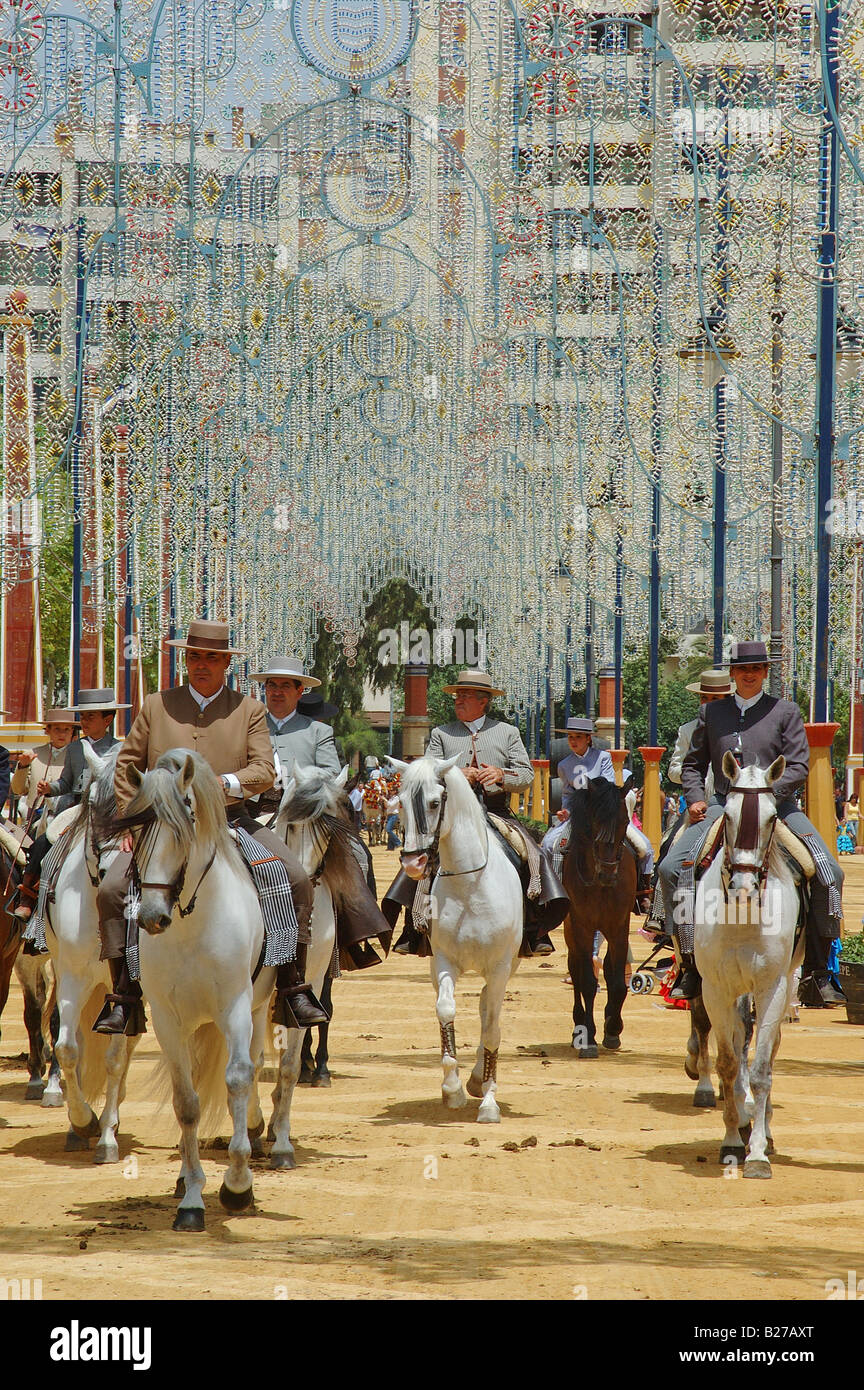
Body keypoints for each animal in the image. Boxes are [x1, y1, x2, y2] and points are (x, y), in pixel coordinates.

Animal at [391, 756, 525, 1123]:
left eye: (435, 802)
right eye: (401, 802)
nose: (413, 862)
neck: (470, 887)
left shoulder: (500, 967)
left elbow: (492, 1027)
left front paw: (490, 1102)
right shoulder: (444, 962)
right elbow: (445, 1010)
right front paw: (452, 1089)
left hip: (507, 968)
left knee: (488, 1009)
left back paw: (481, 1079)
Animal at [566, 778, 638, 1056]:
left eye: (625, 822)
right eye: (596, 821)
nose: (608, 873)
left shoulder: (619, 927)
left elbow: (617, 981)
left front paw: (613, 1028)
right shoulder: (582, 927)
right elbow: (587, 981)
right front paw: (588, 1038)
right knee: (576, 971)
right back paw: (579, 1026)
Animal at [691, 756, 805, 1178]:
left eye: (772, 817)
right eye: (728, 815)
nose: (742, 885)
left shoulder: (771, 987)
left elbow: (760, 1070)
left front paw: (756, 1154)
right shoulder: (715, 989)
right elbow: (728, 1062)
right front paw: (731, 1139)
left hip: (786, 984)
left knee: (768, 1052)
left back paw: (764, 1128)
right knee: (740, 1041)